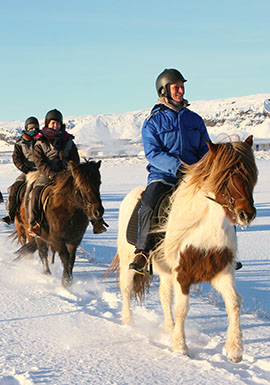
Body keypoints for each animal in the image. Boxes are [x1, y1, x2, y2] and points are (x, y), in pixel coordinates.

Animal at [14, 158, 104, 286]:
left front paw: (69, 280)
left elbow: (71, 259)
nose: (98, 211)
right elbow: (65, 257)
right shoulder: (57, 240)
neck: (68, 211)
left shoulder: (74, 240)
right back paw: (47, 273)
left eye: (98, 183)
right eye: (81, 186)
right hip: (37, 235)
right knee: (43, 252)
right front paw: (65, 282)